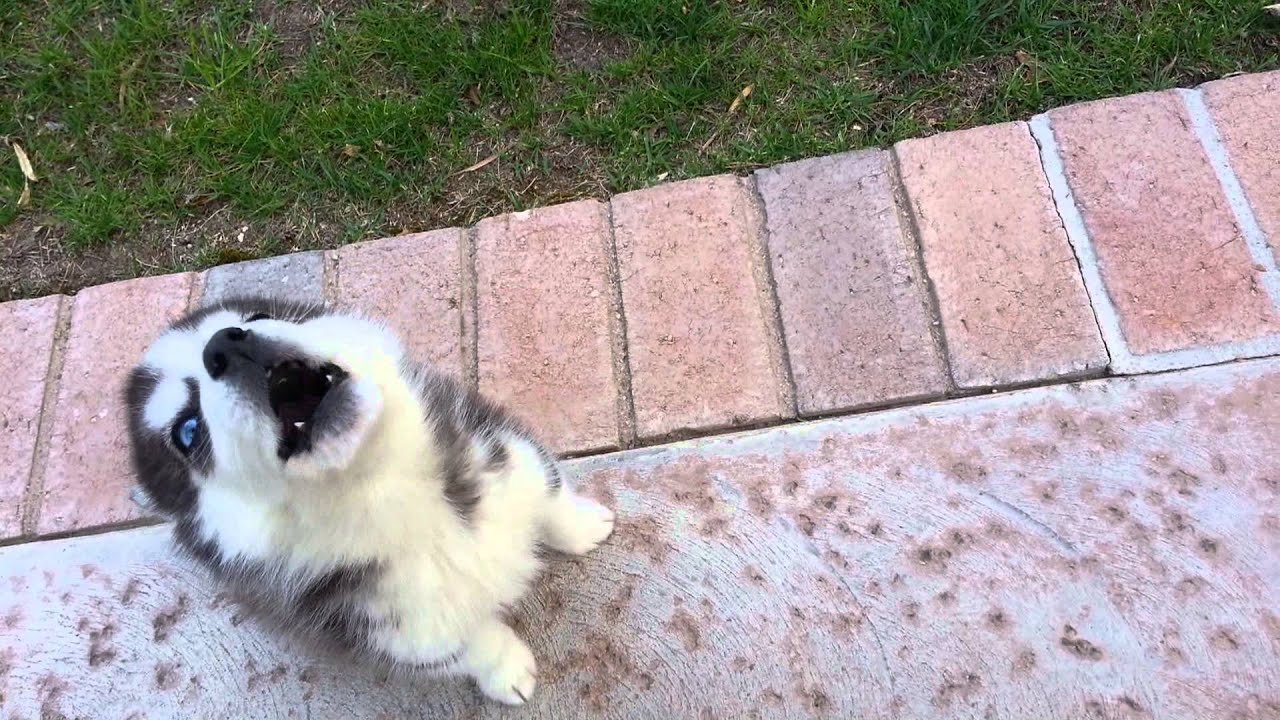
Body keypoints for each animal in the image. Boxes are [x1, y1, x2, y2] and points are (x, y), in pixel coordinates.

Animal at [123, 295, 614, 702]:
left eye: (258, 316)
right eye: (187, 431)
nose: (224, 344)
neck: (390, 493)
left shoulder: (506, 451)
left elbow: (549, 492)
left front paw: (585, 524)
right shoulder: (400, 634)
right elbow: (475, 647)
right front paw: (507, 673)